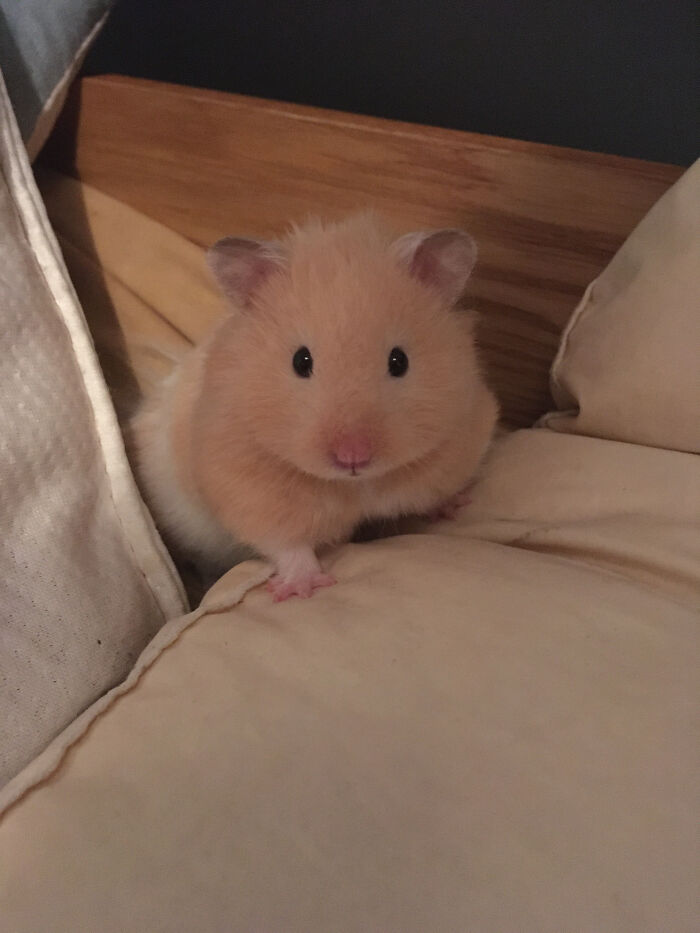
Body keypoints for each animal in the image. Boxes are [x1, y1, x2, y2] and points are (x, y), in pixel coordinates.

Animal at [131, 213, 498, 601]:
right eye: (300, 361)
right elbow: (286, 543)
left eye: (399, 361)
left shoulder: (462, 433)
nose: (353, 457)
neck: (357, 486)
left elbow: (439, 489)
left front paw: (457, 505)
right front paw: (301, 589)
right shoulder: (247, 488)